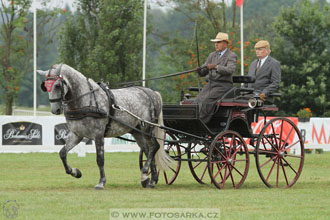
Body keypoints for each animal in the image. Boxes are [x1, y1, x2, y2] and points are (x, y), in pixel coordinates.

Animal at [38, 63, 173, 189]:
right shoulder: (76, 134)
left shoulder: (98, 134)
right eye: (45, 86)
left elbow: (100, 159)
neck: (85, 100)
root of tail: (152, 93)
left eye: (57, 85)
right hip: (137, 132)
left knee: (154, 147)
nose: (55, 110)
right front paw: (75, 172)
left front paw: (101, 182)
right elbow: (62, 153)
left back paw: (146, 173)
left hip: (147, 128)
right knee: (148, 150)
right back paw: (149, 179)